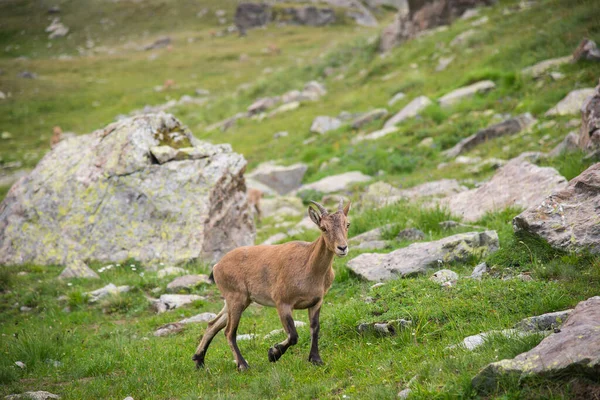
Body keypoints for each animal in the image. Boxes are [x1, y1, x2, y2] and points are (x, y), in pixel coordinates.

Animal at [192, 198, 352, 370]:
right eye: (323, 228)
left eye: (347, 224)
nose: (342, 247)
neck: (309, 265)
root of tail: (217, 266)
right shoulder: (282, 303)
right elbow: (293, 335)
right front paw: (273, 353)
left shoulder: (316, 302)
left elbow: (315, 328)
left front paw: (316, 359)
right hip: (236, 298)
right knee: (229, 332)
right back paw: (242, 365)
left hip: (238, 300)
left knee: (213, 324)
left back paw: (199, 360)